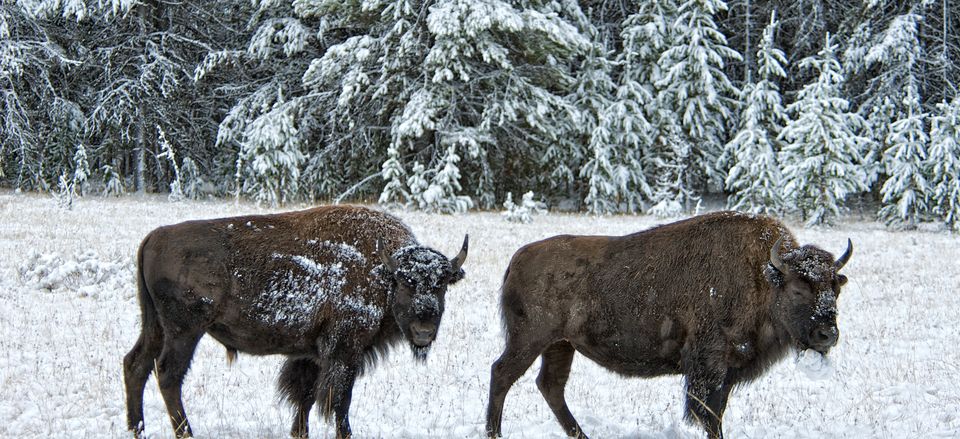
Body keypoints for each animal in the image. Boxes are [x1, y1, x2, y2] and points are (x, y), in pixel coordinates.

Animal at [124, 206, 468, 439]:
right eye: (406, 283)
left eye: (441, 285)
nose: (424, 332)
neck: (382, 270)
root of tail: (155, 236)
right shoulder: (345, 350)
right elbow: (339, 400)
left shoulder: (311, 353)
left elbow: (305, 396)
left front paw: (300, 432)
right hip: (185, 331)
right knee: (168, 374)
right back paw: (185, 432)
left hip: (154, 325)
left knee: (136, 364)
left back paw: (137, 428)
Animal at [484, 211, 852, 438]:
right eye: (797, 289)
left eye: (834, 288)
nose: (827, 335)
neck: (763, 277)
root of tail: (517, 260)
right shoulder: (708, 367)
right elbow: (708, 416)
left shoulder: (726, 373)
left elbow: (717, 412)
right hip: (530, 340)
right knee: (502, 374)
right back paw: (494, 432)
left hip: (560, 345)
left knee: (551, 386)